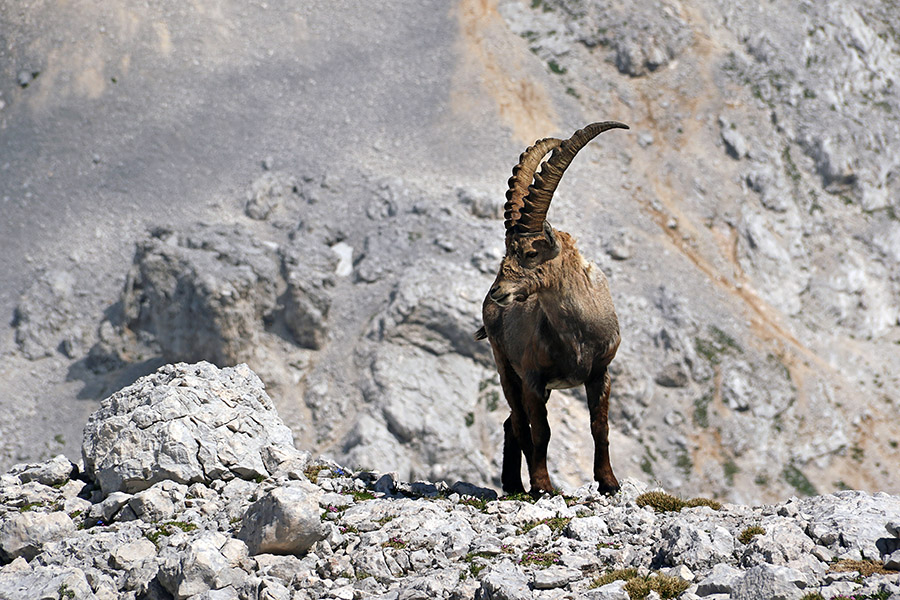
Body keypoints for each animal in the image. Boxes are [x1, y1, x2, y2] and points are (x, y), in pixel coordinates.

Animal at [476, 121, 628, 495]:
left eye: (531, 252)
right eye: (506, 250)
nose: (497, 292)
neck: (578, 334)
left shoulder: (601, 373)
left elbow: (600, 427)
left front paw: (609, 482)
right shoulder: (533, 378)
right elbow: (541, 433)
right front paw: (543, 485)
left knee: (511, 423)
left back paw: (513, 483)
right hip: (506, 368)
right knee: (519, 422)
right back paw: (523, 484)